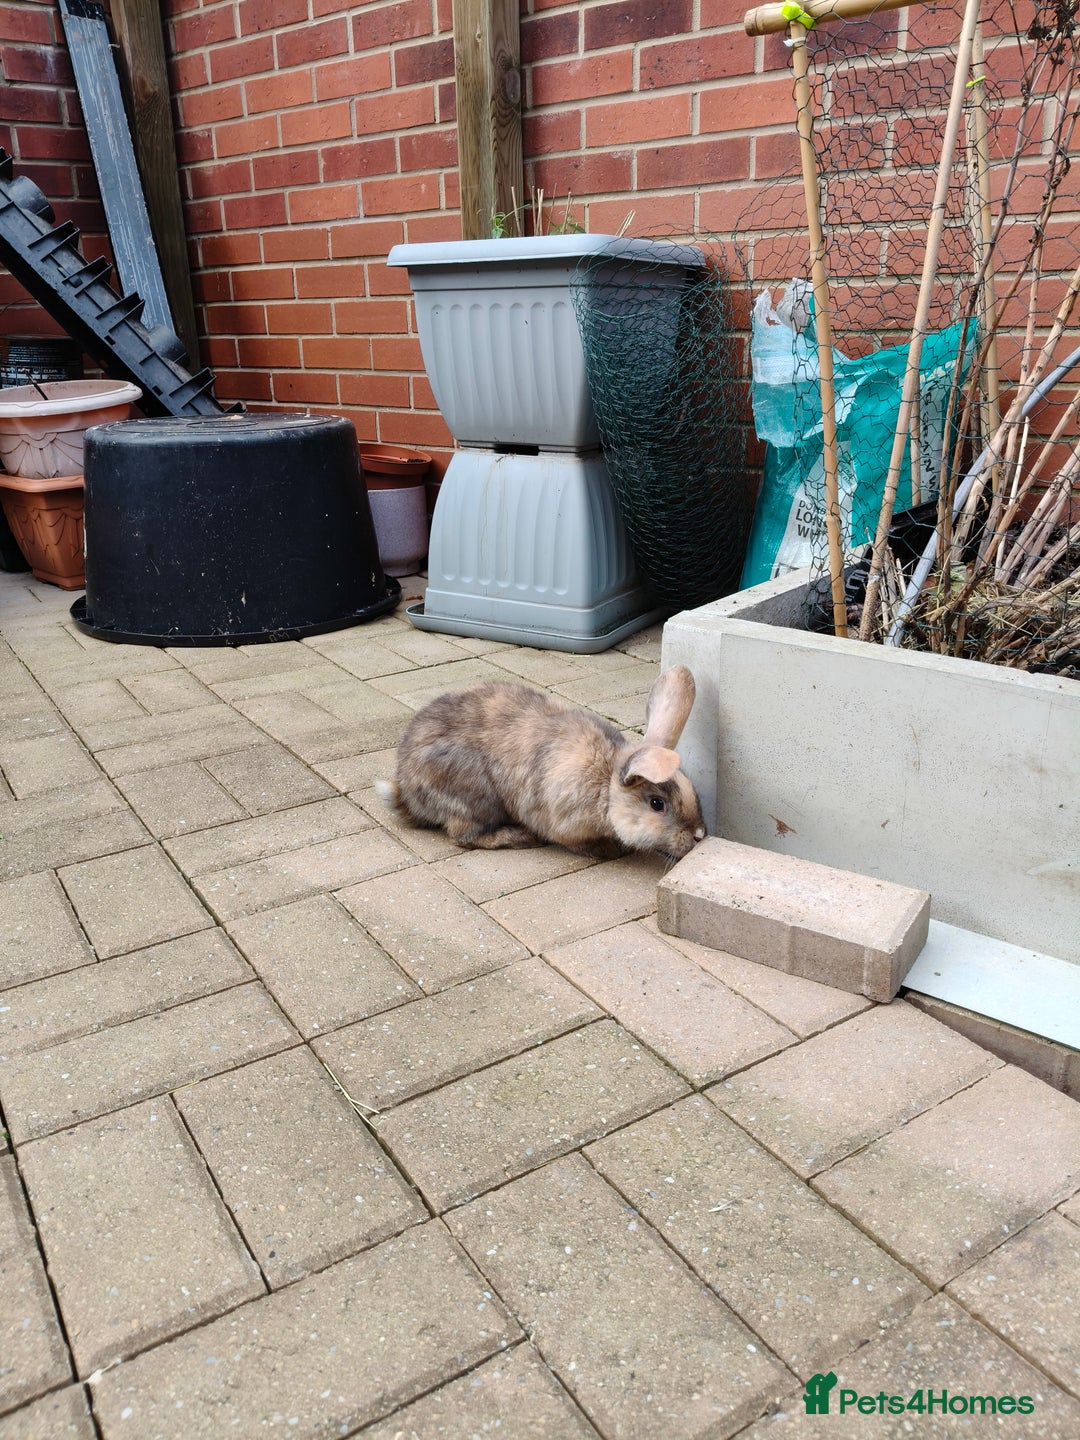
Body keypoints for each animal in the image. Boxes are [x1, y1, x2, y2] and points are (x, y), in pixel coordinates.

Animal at [376, 664, 706, 862]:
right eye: (656, 804)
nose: (699, 835)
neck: (606, 784)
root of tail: (405, 790)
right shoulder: (562, 823)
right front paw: (608, 850)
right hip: (477, 797)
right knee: (464, 836)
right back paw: (521, 837)